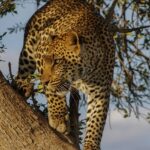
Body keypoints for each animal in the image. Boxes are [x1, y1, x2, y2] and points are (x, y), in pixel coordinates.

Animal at [15, 0, 115, 149]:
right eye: (45, 60)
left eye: (57, 62)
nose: (43, 81)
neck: (83, 73)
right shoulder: (41, 48)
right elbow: (52, 92)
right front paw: (58, 118)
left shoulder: (100, 92)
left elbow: (97, 121)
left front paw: (91, 145)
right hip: (30, 45)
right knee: (23, 68)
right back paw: (23, 85)